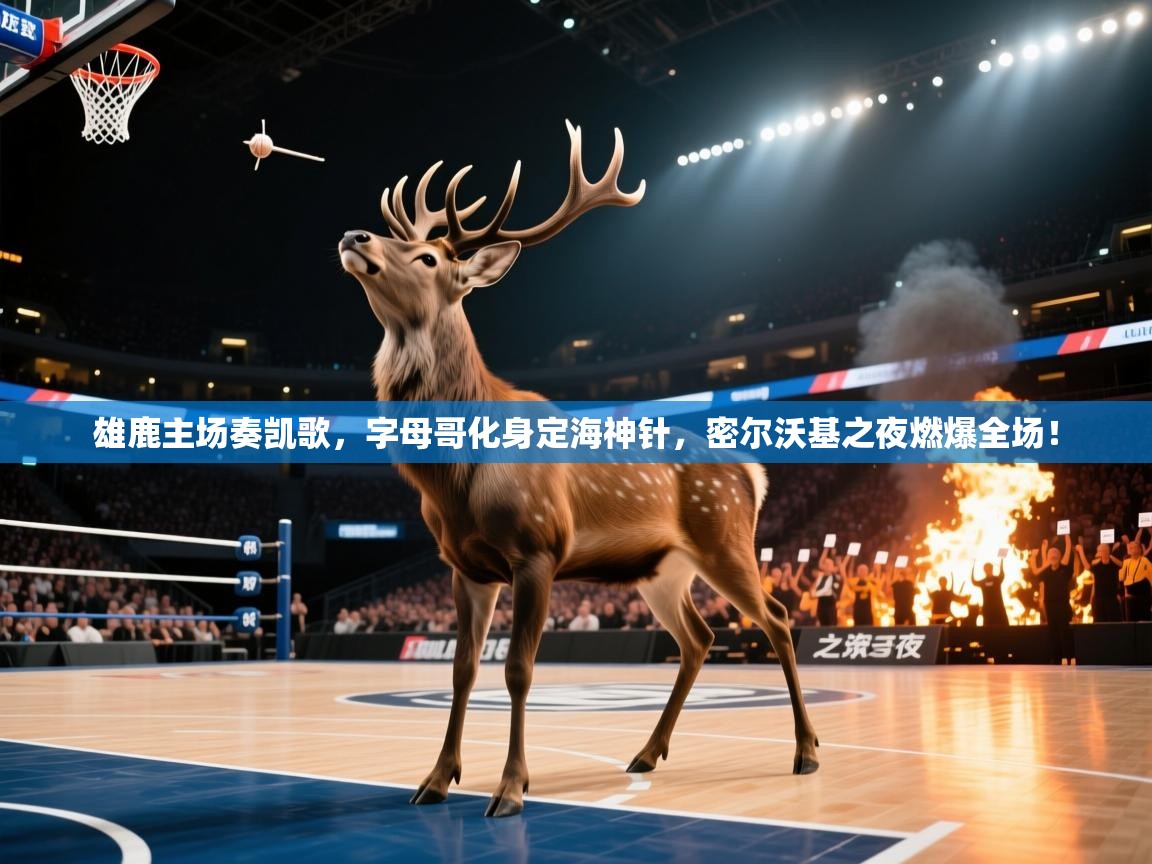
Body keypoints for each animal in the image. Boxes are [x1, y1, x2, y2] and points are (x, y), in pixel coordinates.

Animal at [338, 121, 819, 817]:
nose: (355, 236)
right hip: (662, 570)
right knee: (698, 637)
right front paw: (435, 779)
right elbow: (463, 669)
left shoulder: (537, 546)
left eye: (428, 258)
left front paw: (511, 787)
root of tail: (752, 474)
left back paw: (806, 751)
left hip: (725, 538)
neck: (455, 479)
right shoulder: (464, 566)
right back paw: (647, 752)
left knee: (777, 619)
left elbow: (518, 669)